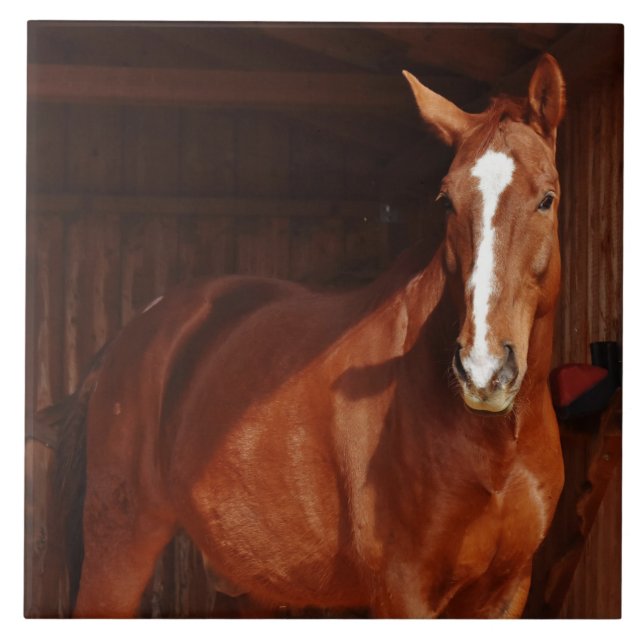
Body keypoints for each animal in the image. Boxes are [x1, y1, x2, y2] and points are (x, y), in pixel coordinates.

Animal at [49, 53, 566, 618]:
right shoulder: (402, 592)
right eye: (447, 201)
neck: (494, 446)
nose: (483, 371)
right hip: (118, 554)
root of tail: (136, 331)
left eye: (547, 199)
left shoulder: (507, 589)